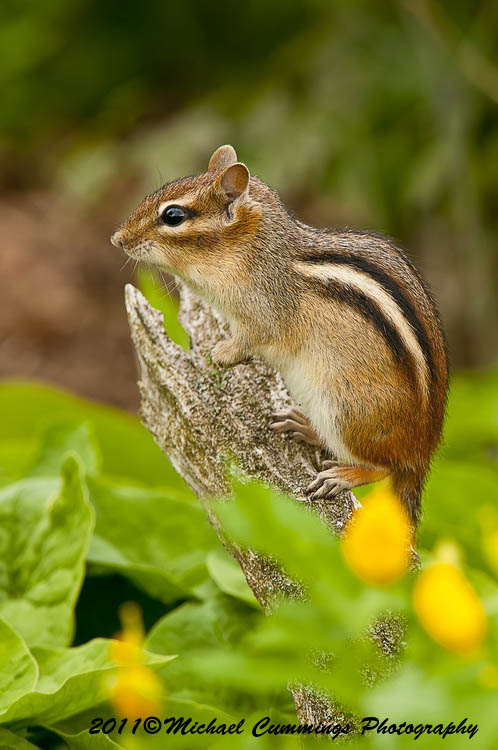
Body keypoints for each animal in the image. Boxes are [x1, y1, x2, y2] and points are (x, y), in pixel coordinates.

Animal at [111, 144, 448, 523]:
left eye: (172, 216)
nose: (117, 239)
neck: (251, 251)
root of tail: (423, 453)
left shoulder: (264, 312)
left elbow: (251, 339)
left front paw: (221, 353)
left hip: (348, 412)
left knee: (384, 467)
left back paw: (344, 474)